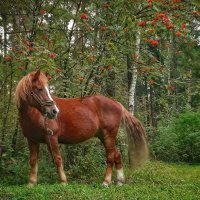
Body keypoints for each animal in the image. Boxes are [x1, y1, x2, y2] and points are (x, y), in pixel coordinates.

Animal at [14, 70, 148, 186]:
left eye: (46, 89)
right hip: (103, 136)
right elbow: (33, 161)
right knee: (117, 155)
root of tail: (117, 104)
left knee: (110, 156)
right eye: (40, 89)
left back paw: (106, 182)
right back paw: (120, 181)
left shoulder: (51, 138)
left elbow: (57, 159)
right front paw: (31, 183)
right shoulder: (32, 140)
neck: (35, 114)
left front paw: (63, 182)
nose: (54, 111)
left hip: (108, 134)